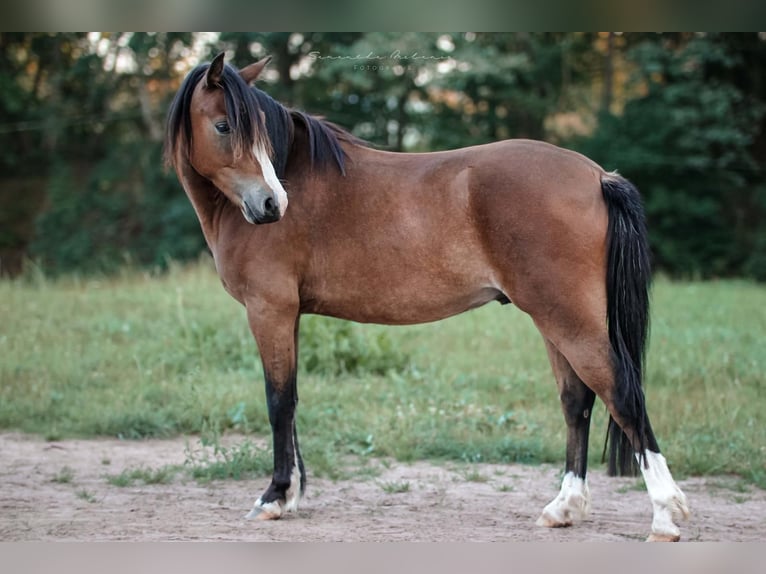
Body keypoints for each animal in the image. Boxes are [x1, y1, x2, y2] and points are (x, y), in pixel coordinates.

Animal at [164, 51, 688, 544]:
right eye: (224, 125)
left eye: (245, 129)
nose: (272, 205)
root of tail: (597, 176)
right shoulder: (287, 315)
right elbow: (290, 401)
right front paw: (291, 492)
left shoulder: (268, 310)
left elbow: (277, 402)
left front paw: (273, 497)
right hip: (554, 319)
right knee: (576, 401)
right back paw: (564, 508)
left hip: (568, 319)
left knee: (623, 395)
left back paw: (665, 516)